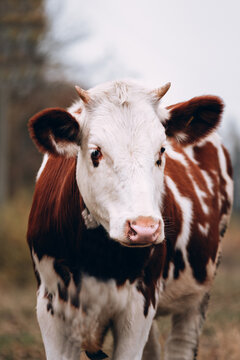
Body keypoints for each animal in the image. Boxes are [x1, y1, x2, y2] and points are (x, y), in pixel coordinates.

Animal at [27, 79, 233, 360]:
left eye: (162, 150)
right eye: (96, 153)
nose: (144, 228)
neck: (97, 261)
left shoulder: (139, 305)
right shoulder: (51, 307)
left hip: (198, 294)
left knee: (181, 343)